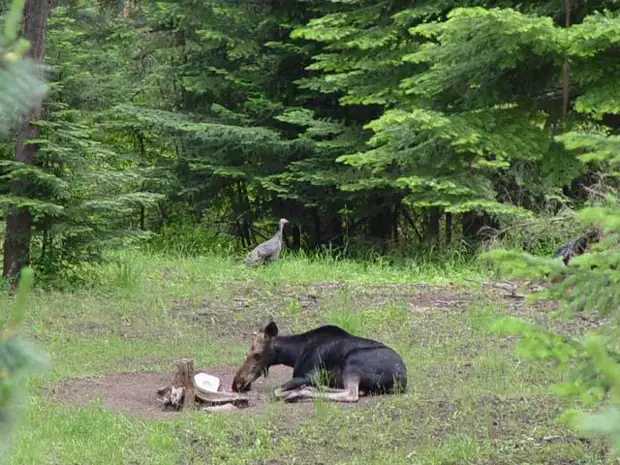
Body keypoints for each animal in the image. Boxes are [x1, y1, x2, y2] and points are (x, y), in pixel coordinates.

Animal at [232, 316, 406, 402]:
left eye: (257, 354)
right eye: (247, 352)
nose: (237, 384)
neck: (293, 355)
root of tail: (403, 380)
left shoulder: (310, 375)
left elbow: (276, 390)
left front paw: (294, 392)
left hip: (352, 361)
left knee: (351, 394)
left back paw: (298, 393)